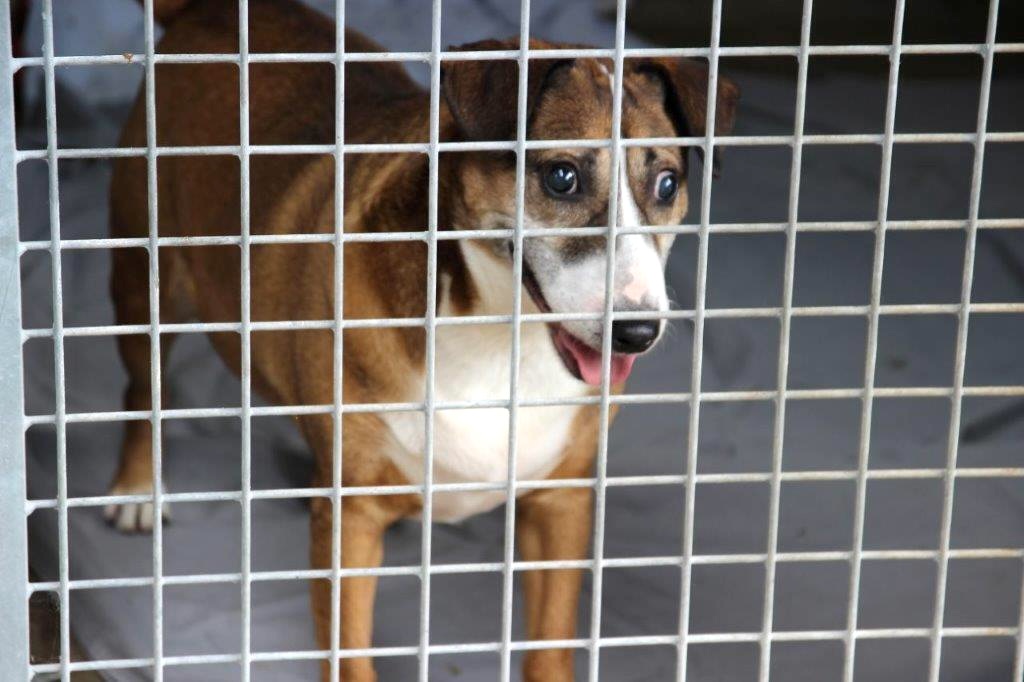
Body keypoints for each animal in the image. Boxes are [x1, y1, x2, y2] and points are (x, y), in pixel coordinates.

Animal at [105, 0, 738, 679]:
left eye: (668, 184)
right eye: (562, 177)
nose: (637, 332)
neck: (500, 338)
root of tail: (208, 11)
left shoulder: (560, 502)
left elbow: (550, 644)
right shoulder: (351, 521)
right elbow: (350, 653)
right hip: (144, 280)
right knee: (142, 386)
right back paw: (138, 487)